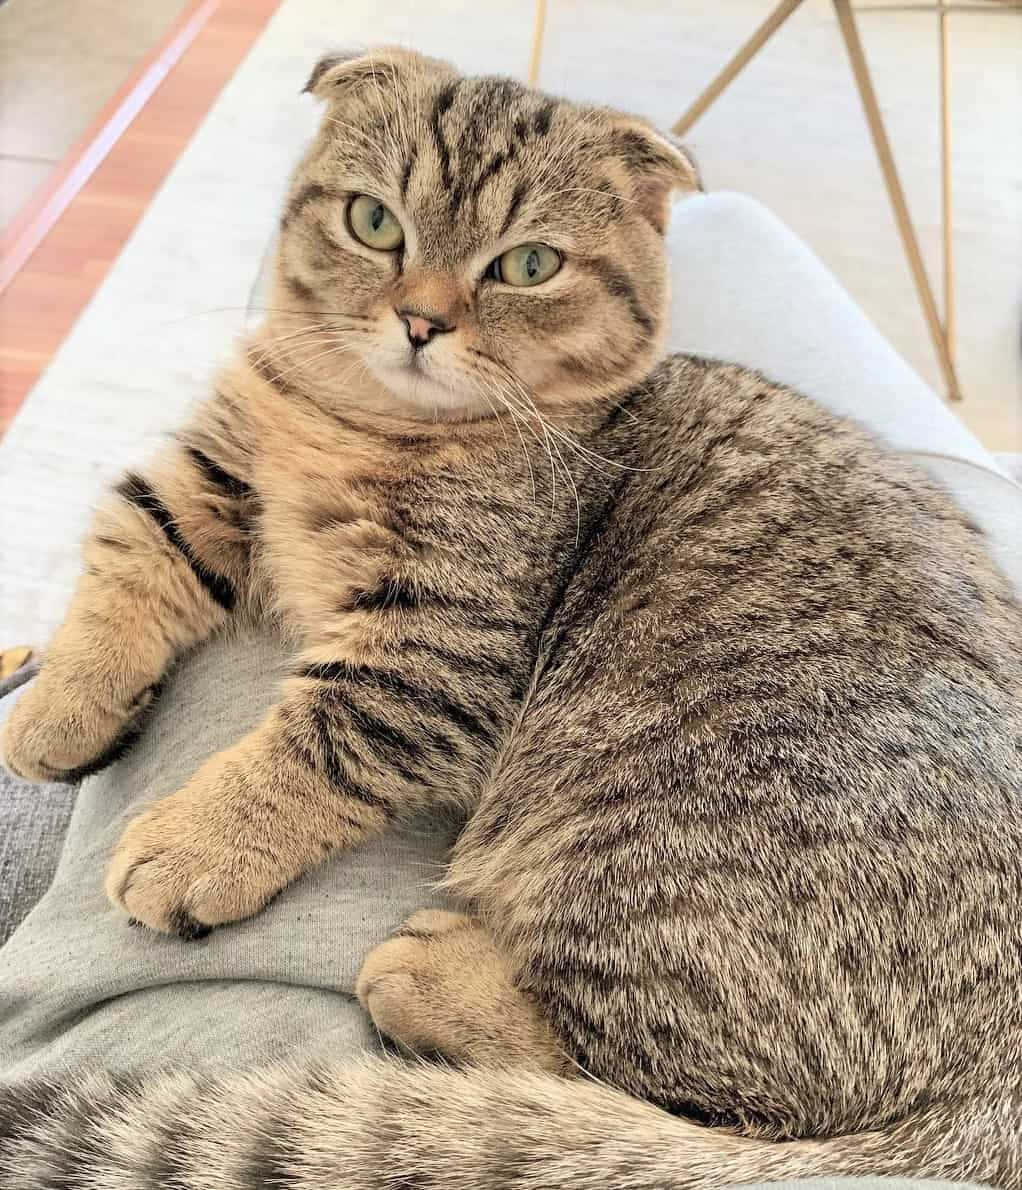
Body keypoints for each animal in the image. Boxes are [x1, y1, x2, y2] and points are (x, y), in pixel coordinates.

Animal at [1, 46, 1022, 1190]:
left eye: (527, 265)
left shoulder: (440, 645)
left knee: (661, 1098)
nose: (420, 319)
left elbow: (316, 744)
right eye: (373, 222)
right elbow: (129, 555)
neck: (364, 421)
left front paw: (195, 840)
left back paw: (432, 977)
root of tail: (990, 1087)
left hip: (630, 839)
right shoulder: (209, 473)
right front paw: (61, 700)